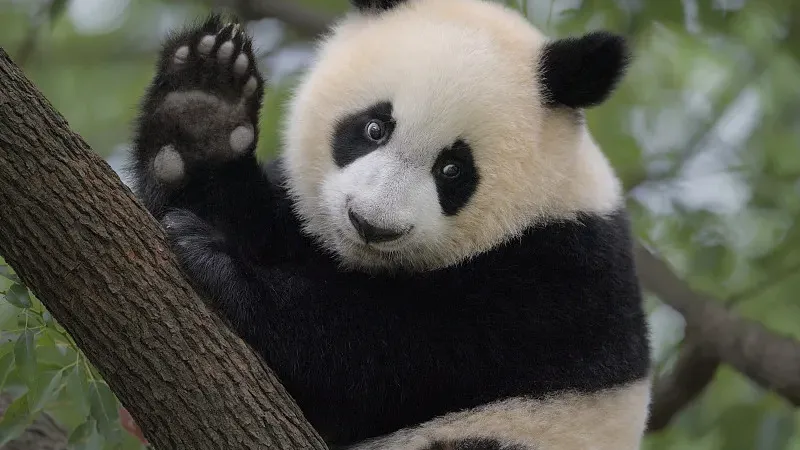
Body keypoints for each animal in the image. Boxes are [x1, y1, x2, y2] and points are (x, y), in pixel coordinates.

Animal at [128, 0, 652, 449]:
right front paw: (202, 114)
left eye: (453, 169)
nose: (371, 225)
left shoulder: (557, 280)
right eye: (374, 128)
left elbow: (388, 355)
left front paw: (222, 267)